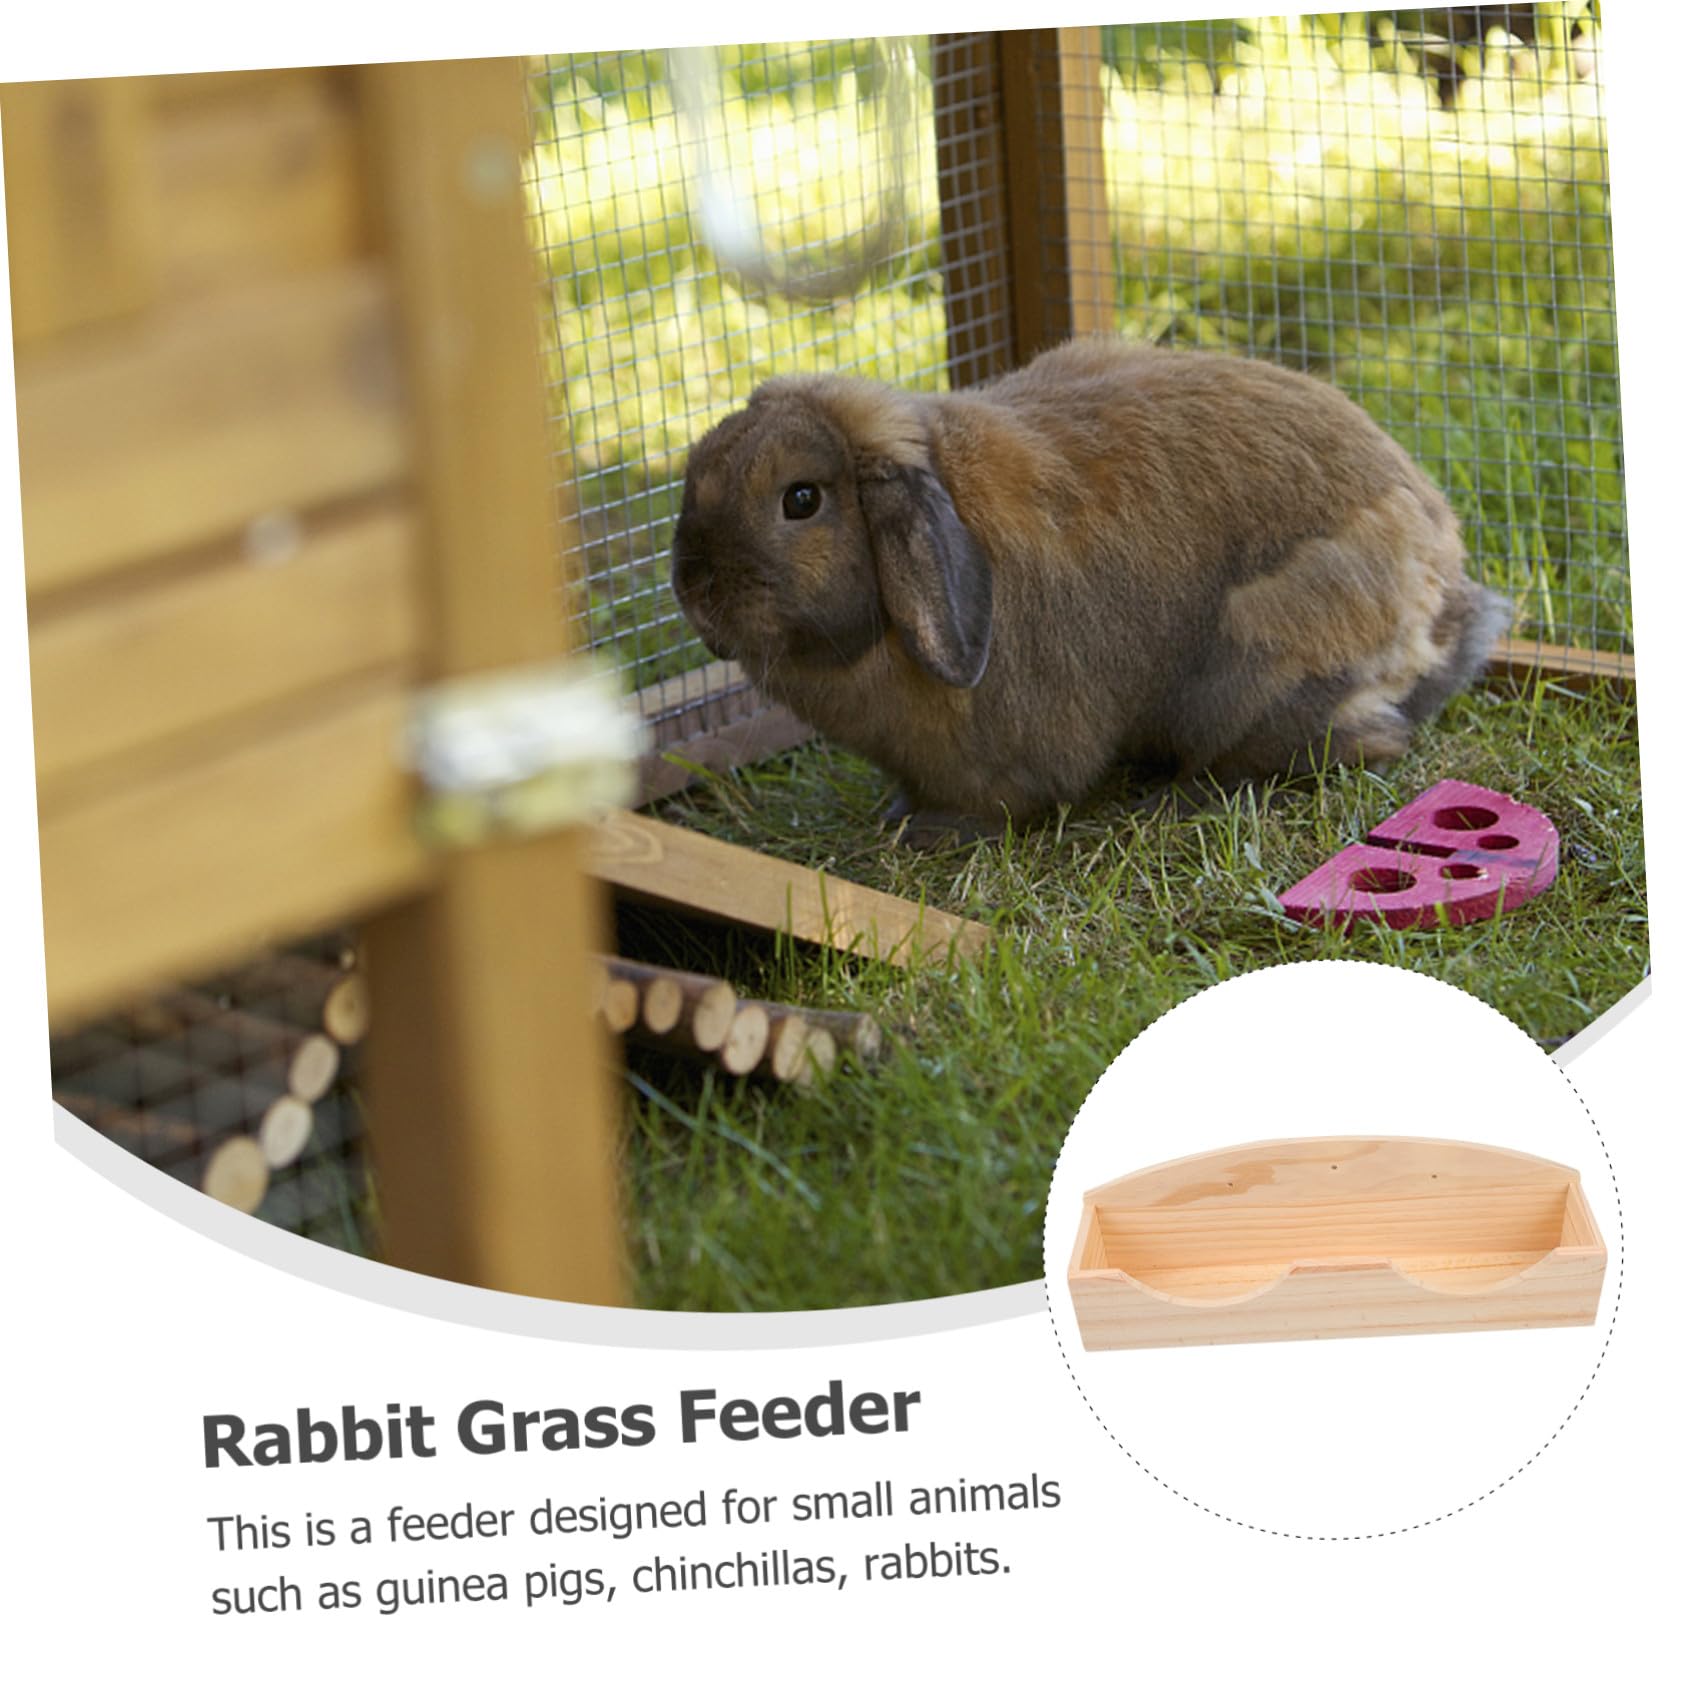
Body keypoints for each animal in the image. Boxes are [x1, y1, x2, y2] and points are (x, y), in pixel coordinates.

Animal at [669, 337, 1508, 838]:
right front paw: (897, 813)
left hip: (1260, 664)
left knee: (1363, 742)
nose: (693, 591)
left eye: (801, 500)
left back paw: (1184, 796)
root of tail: (1444, 598)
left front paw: (930, 831)